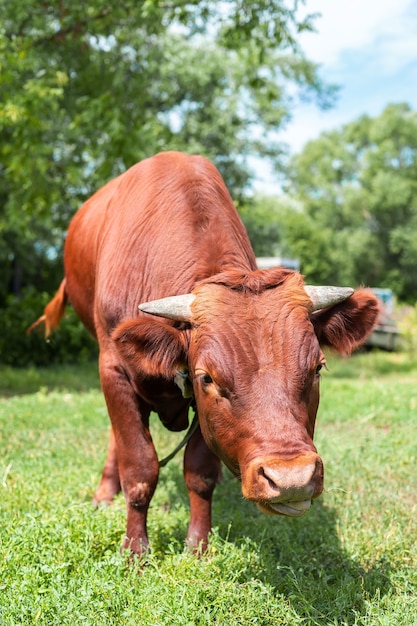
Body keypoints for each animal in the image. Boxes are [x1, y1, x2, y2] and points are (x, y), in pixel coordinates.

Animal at [30, 151, 380, 556]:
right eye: (207, 377)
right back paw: (105, 490)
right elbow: (139, 468)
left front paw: (198, 545)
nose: (291, 478)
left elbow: (199, 473)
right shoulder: (115, 369)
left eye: (318, 368)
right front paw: (135, 549)